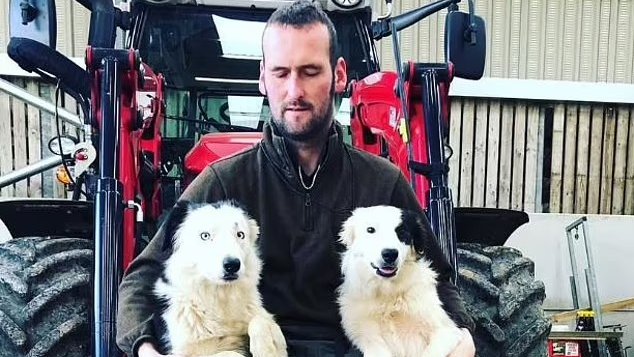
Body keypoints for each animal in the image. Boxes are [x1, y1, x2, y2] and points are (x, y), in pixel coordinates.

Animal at [154, 199, 288, 356]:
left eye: (240, 234)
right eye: (205, 236)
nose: (232, 265)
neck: (220, 295)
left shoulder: (260, 313)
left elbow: (260, 319)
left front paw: (267, 349)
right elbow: (230, 353)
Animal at [336, 204, 460, 356]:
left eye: (402, 232)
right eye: (370, 230)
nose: (390, 254)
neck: (388, 295)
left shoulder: (446, 331)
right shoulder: (370, 339)